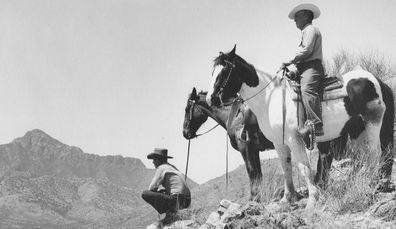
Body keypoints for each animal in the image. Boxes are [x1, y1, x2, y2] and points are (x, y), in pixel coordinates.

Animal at [207, 46, 392, 208]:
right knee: (367, 157)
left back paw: (372, 183)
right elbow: (286, 167)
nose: (211, 99)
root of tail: (376, 80)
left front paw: (312, 199)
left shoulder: (293, 139)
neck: (271, 99)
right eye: (213, 72)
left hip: (373, 122)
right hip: (357, 132)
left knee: (375, 153)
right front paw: (286, 199)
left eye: (224, 72)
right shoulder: (279, 143)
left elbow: (304, 167)